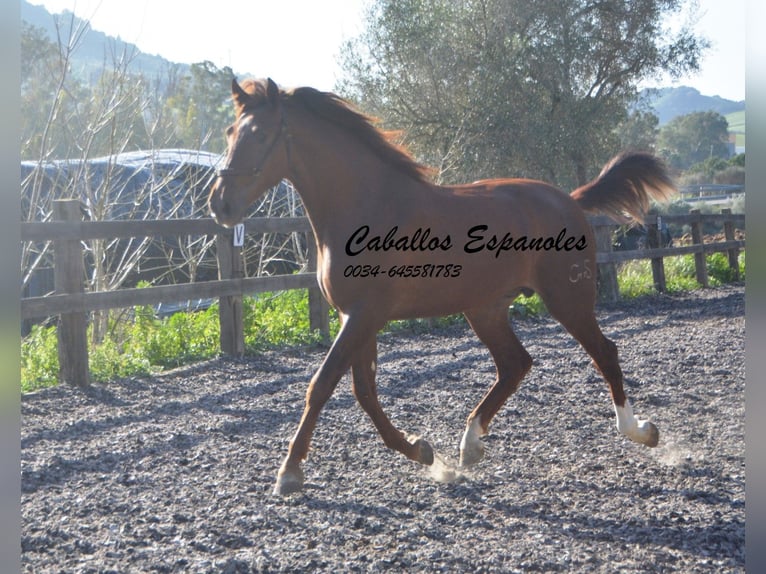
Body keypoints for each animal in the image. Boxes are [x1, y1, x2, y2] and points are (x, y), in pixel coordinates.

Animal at [210, 79, 680, 498]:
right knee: (515, 364)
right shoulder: (356, 317)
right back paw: (469, 446)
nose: (219, 204)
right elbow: (364, 392)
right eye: (231, 132)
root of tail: (569, 199)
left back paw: (641, 431)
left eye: (261, 135)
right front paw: (423, 453)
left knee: (603, 353)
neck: (366, 206)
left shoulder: (365, 315)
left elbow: (322, 385)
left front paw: (289, 473)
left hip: (568, 299)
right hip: (486, 308)